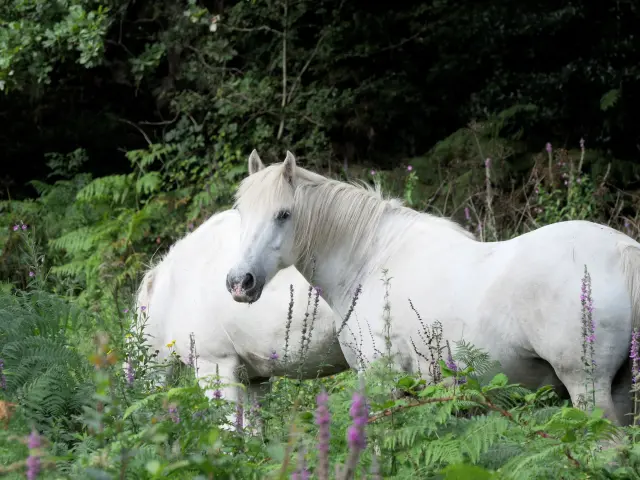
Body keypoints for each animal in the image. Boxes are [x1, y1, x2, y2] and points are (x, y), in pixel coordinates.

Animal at [226, 149, 640, 426]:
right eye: (241, 213)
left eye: (283, 214)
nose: (239, 283)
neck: (371, 259)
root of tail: (621, 251)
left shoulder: (382, 384)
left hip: (588, 390)